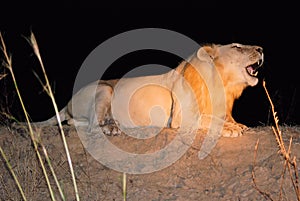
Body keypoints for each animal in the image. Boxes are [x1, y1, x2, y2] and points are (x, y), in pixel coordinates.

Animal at [27, 42, 264, 137]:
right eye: (237, 47)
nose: (261, 49)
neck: (223, 84)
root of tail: (67, 102)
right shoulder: (180, 118)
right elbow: (209, 119)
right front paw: (231, 129)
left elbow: (220, 117)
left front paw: (236, 124)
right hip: (103, 88)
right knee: (92, 124)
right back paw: (112, 127)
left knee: (72, 122)